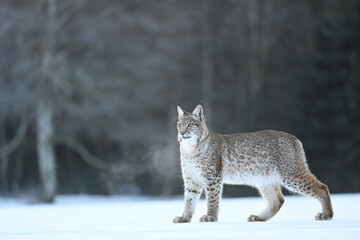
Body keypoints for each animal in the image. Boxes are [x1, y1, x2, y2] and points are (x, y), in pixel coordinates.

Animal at [173, 105, 334, 223]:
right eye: (179, 125)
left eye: (190, 125)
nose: (181, 133)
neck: (190, 149)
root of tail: (293, 137)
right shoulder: (191, 179)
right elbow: (189, 200)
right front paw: (185, 218)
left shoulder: (213, 177)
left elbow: (212, 199)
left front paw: (211, 217)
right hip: (264, 178)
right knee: (278, 201)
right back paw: (259, 217)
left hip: (291, 174)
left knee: (323, 187)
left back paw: (327, 215)